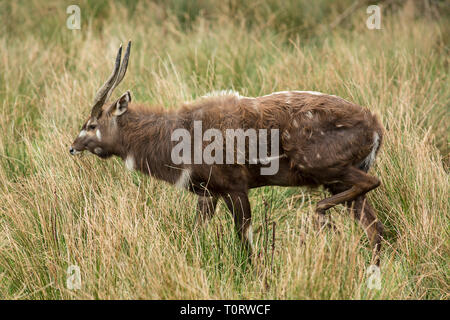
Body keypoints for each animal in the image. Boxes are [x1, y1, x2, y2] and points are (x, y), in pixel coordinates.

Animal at [70, 43, 384, 268]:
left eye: (92, 124)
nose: (72, 146)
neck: (181, 132)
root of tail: (374, 124)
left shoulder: (236, 188)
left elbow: (244, 241)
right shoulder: (209, 194)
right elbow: (196, 233)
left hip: (322, 166)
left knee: (371, 184)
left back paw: (321, 215)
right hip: (336, 182)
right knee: (375, 227)